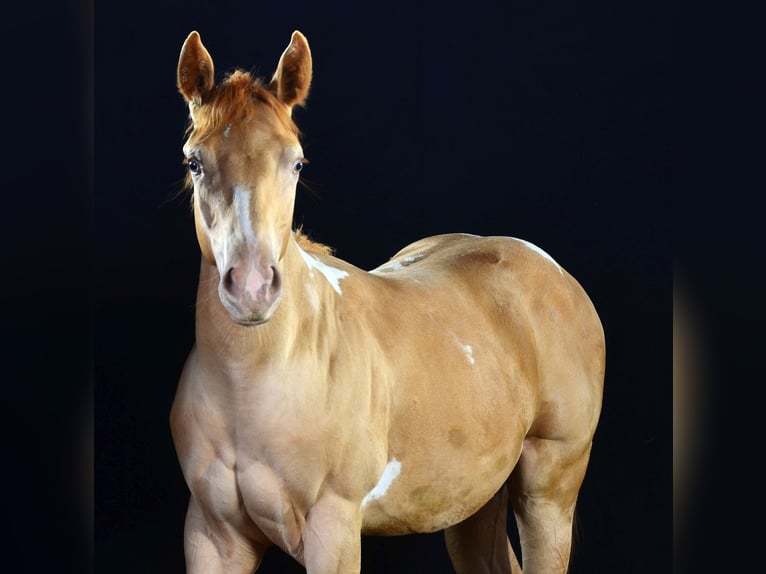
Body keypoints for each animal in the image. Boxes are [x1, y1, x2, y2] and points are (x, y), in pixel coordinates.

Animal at [170, 30, 605, 574]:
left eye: (296, 162)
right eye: (194, 162)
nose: (251, 287)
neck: (255, 378)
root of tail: (552, 270)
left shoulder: (333, 531)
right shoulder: (212, 536)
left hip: (549, 491)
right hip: (472, 501)